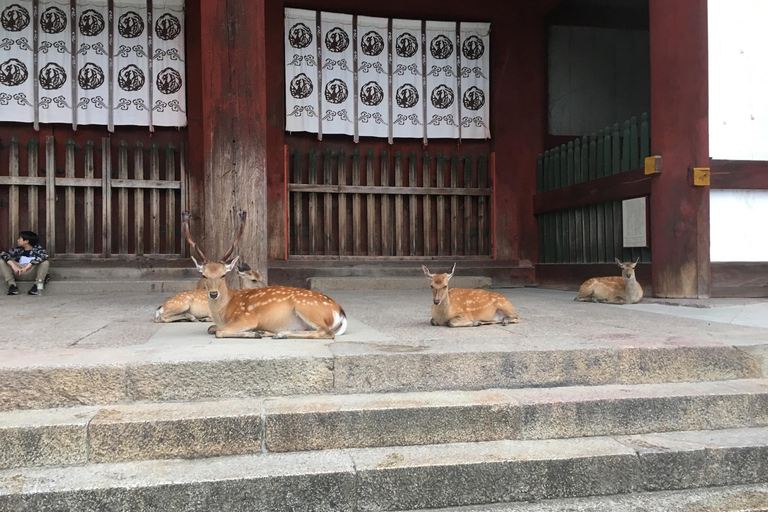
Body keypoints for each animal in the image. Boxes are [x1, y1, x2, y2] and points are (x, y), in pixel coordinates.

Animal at [180, 210, 348, 338]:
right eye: (204, 275)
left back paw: (278, 334)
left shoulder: (246, 317)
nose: (213, 294)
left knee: (326, 332)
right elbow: (211, 328)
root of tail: (341, 313)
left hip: (308, 308)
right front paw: (257, 332)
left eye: (223, 275)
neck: (224, 312)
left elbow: (219, 331)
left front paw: (253, 333)